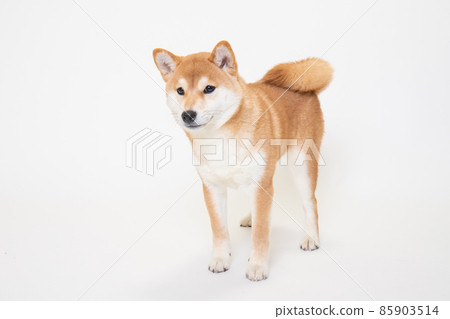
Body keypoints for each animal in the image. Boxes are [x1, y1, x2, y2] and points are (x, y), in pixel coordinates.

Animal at [153, 40, 332, 282]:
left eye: (209, 88)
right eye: (180, 91)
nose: (187, 114)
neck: (219, 139)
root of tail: (303, 84)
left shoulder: (261, 185)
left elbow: (261, 234)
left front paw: (257, 266)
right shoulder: (213, 188)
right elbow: (219, 229)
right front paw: (220, 259)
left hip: (301, 165)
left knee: (310, 203)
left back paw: (311, 237)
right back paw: (250, 217)